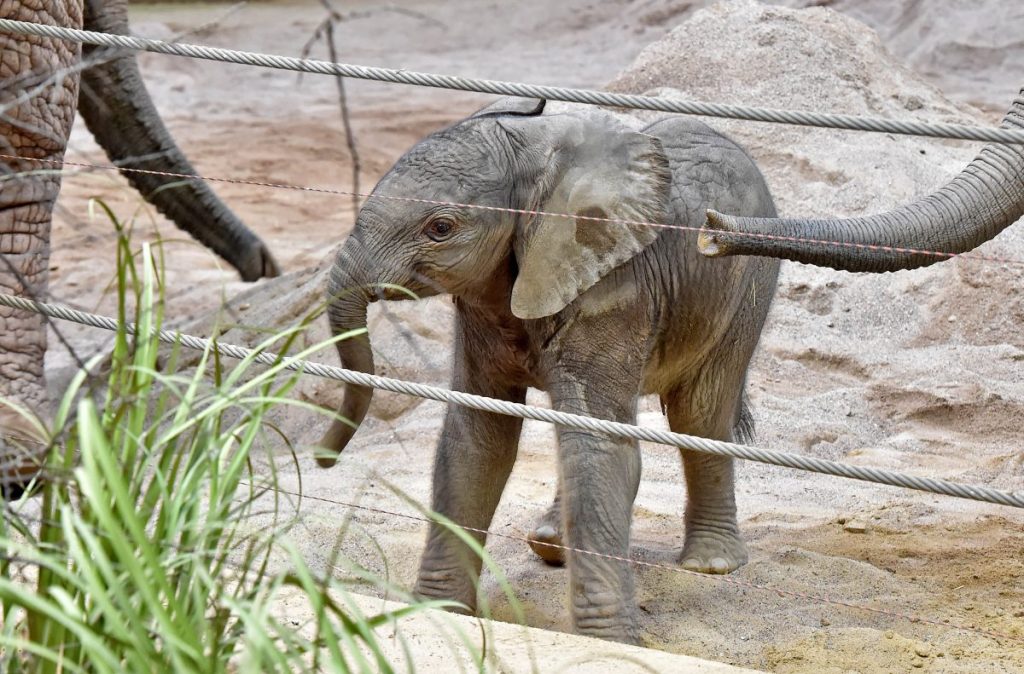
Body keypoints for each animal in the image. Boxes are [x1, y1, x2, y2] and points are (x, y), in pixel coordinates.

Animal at [315, 98, 778, 639]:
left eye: (440, 229)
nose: (323, 459)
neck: (534, 155)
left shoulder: (613, 287)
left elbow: (598, 447)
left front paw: (609, 642)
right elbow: (477, 439)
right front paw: (436, 614)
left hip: (746, 280)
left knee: (699, 414)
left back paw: (710, 565)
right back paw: (552, 544)